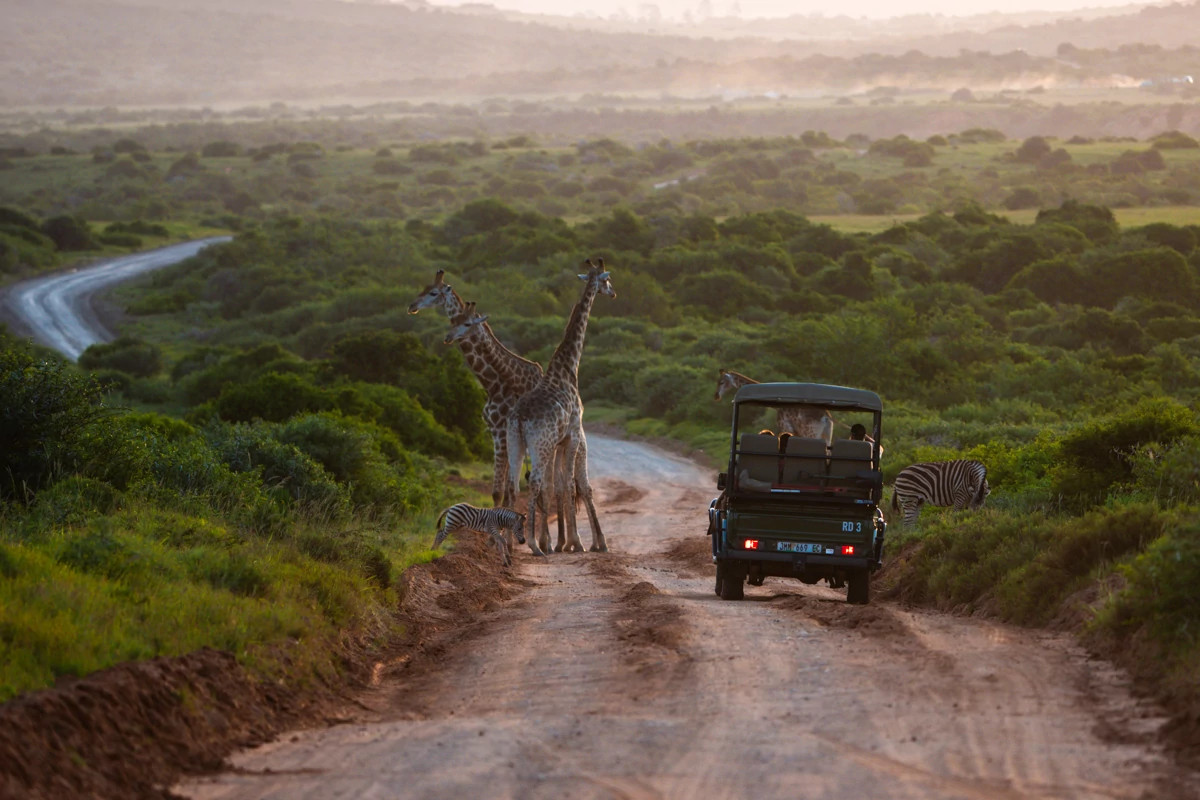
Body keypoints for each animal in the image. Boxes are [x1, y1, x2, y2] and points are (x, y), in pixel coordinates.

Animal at [409, 270, 543, 508]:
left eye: (433, 292)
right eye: (424, 287)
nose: (411, 306)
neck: (493, 384)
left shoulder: (500, 431)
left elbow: (501, 491)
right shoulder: (494, 431)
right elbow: (504, 491)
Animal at [507, 259, 615, 556]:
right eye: (606, 280)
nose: (613, 293)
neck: (568, 369)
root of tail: (519, 417)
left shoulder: (560, 440)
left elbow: (558, 486)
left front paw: (563, 542)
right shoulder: (573, 434)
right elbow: (567, 485)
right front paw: (576, 543)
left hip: (514, 442)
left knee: (513, 483)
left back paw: (505, 543)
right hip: (540, 444)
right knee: (533, 482)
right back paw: (534, 545)